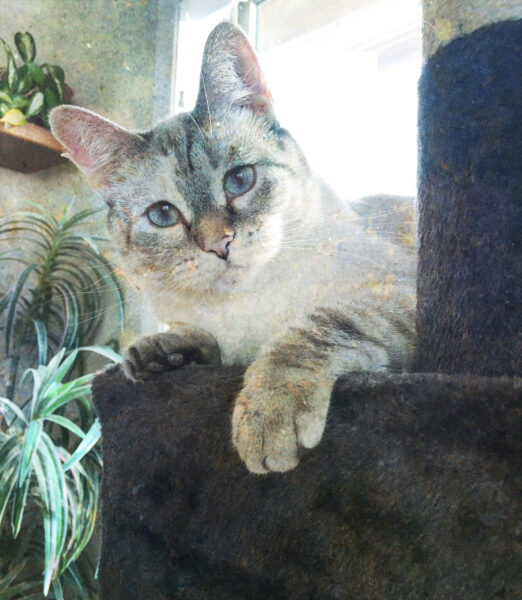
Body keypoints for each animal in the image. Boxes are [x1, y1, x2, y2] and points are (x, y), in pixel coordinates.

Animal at [49, 22, 416, 474]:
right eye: (163, 214)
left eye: (239, 180)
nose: (218, 246)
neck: (249, 313)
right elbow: (201, 341)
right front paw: (160, 353)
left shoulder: (400, 291)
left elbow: (317, 327)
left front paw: (269, 412)